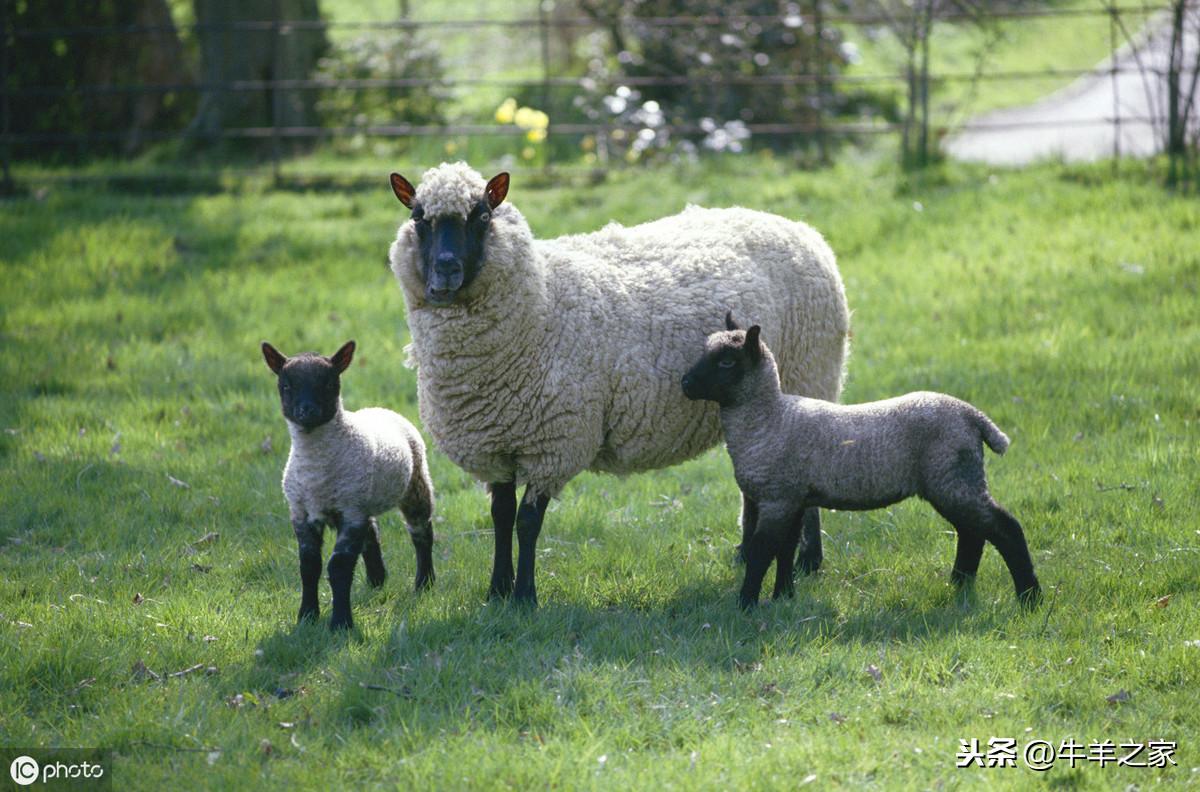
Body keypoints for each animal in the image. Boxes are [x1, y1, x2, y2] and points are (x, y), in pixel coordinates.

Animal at [260, 340, 439, 628]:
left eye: (329, 383)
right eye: (286, 385)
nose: (307, 411)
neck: (317, 470)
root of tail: (379, 408)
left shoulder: (350, 510)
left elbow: (339, 567)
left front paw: (341, 622)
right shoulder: (302, 513)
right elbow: (308, 566)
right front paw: (307, 616)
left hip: (415, 483)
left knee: (421, 531)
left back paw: (424, 583)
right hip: (364, 497)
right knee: (372, 531)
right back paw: (377, 580)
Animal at [388, 160, 849, 607]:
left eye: (482, 215)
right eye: (418, 217)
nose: (446, 270)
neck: (541, 301)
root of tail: (797, 226)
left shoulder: (554, 441)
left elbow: (528, 522)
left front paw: (524, 598)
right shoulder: (497, 441)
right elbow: (501, 518)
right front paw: (497, 590)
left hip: (811, 377)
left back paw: (809, 560)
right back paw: (744, 552)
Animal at [686, 312, 1041, 609]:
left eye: (727, 362)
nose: (685, 383)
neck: (769, 418)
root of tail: (973, 416)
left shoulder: (777, 498)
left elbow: (761, 552)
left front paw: (746, 604)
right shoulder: (793, 498)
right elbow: (785, 550)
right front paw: (783, 597)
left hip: (953, 479)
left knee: (1005, 528)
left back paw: (1029, 597)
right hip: (951, 481)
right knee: (972, 533)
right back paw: (959, 584)